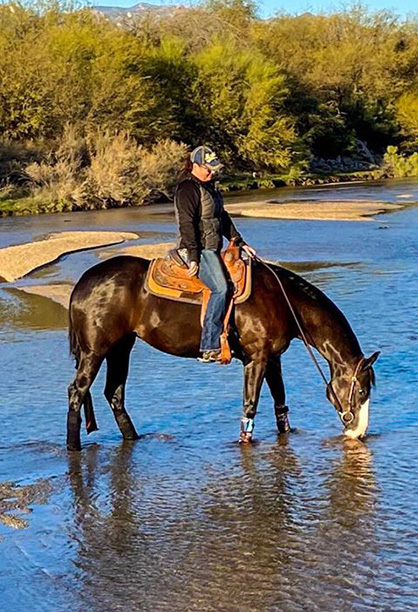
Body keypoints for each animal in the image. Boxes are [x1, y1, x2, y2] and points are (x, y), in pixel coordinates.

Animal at [67, 253, 380, 450]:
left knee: (114, 394)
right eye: (362, 390)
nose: (359, 432)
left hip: (121, 348)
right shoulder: (256, 359)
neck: (281, 299)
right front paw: (244, 442)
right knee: (77, 392)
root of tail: (81, 284)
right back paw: (73, 447)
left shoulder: (273, 358)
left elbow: (280, 403)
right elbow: (250, 405)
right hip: (95, 351)